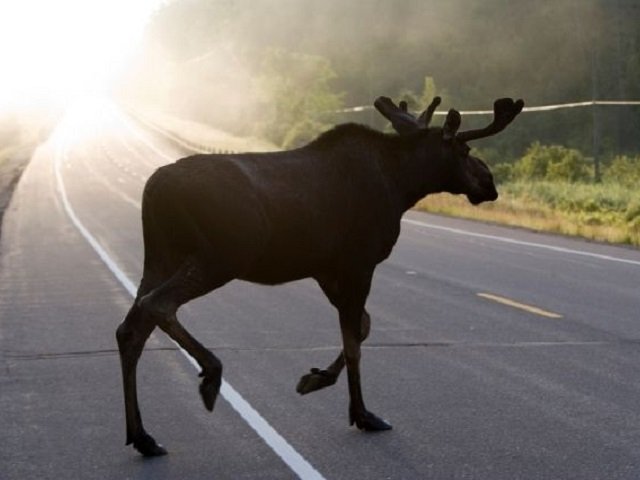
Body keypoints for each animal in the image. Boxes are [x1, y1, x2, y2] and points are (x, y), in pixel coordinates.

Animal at [116, 93, 524, 454]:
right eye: (464, 152)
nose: (490, 184)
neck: (403, 185)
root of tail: (153, 188)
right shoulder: (359, 261)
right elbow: (354, 340)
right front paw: (361, 414)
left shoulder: (327, 269)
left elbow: (363, 326)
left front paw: (316, 378)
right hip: (220, 256)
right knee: (157, 305)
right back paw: (210, 375)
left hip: (161, 257)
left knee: (130, 330)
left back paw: (143, 437)